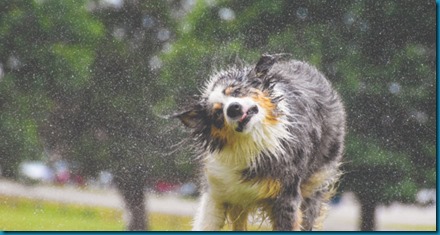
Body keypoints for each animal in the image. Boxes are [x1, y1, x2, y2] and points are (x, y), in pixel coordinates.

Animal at [174, 53, 346, 231]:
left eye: (237, 90)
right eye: (217, 114)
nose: (233, 108)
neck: (250, 143)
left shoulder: (286, 194)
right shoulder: (218, 188)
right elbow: (206, 222)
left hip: (314, 184)